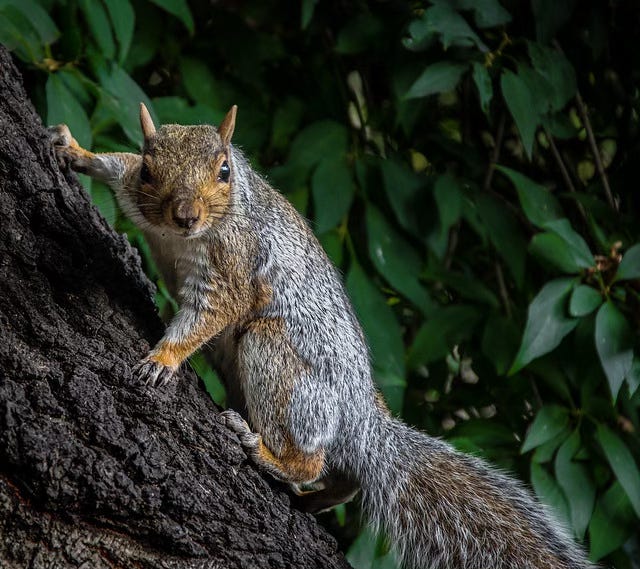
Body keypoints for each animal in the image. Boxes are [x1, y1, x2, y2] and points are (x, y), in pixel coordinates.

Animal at [50, 106, 596, 568]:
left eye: (224, 171)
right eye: (150, 169)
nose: (186, 215)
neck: (183, 235)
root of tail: (361, 417)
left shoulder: (232, 270)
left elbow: (207, 314)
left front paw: (163, 358)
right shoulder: (137, 195)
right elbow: (115, 166)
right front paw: (73, 149)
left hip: (277, 364)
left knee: (309, 458)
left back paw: (269, 456)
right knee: (348, 479)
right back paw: (316, 499)